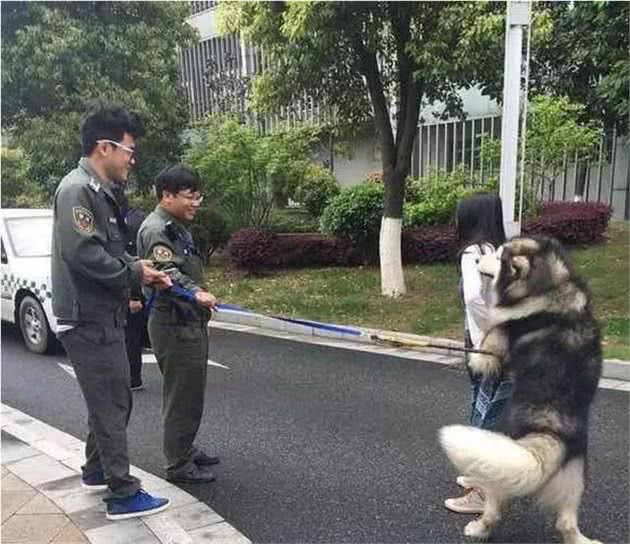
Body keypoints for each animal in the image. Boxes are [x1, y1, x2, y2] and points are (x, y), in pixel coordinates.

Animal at [436, 235, 604, 544]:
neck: (551, 289)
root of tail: (549, 434)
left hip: (504, 461)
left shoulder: (491, 348)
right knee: (566, 522)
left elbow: (481, 347)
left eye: (498, 256)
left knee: (493, 506)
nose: (474, 259)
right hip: (573, 479)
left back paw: (477, 525)